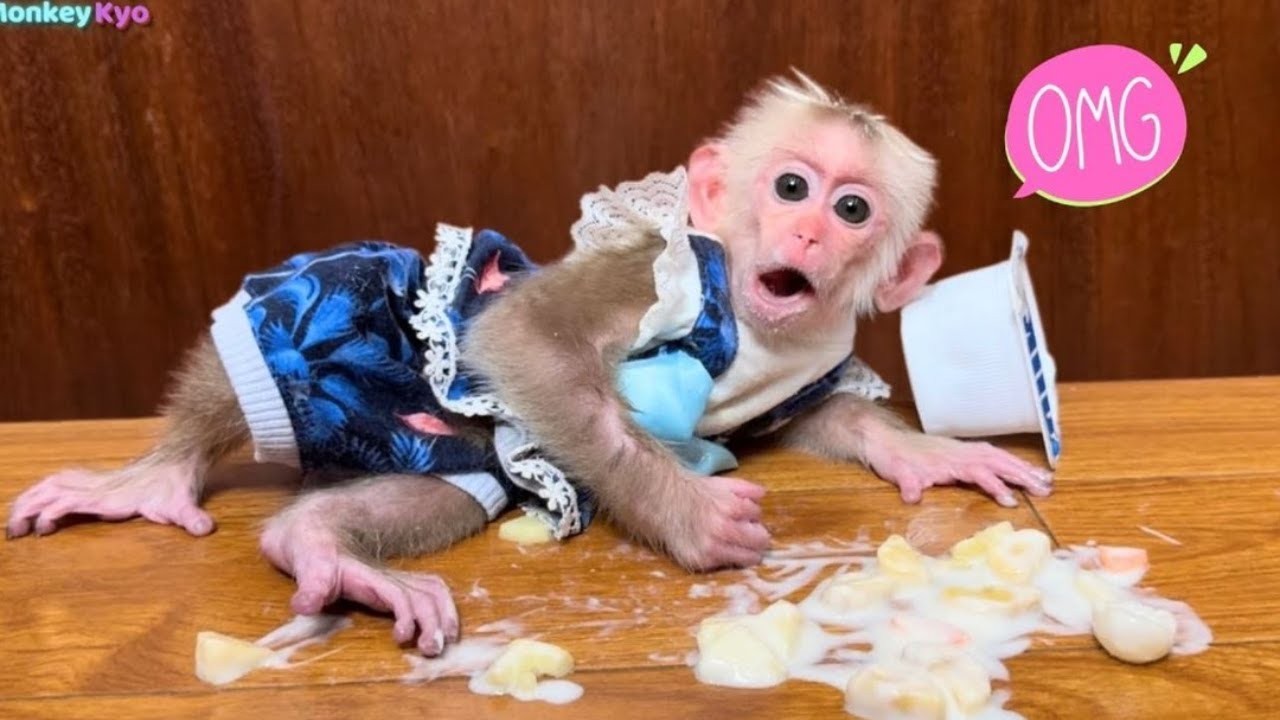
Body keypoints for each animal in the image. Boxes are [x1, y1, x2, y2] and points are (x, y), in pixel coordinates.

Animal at [5, 71, 1053, 658]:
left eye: (852, 210)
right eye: (792, 186)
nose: (804, 232)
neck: (763, 327)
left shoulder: (809, 355)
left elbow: (817, 410)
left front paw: (927, 452)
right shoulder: (666, 267)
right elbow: (521, 337)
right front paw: (687, 511)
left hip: (434, 446)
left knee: (445, 487)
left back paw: (322, 550)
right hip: (347, 330)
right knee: (315, 316)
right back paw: (158, 473)